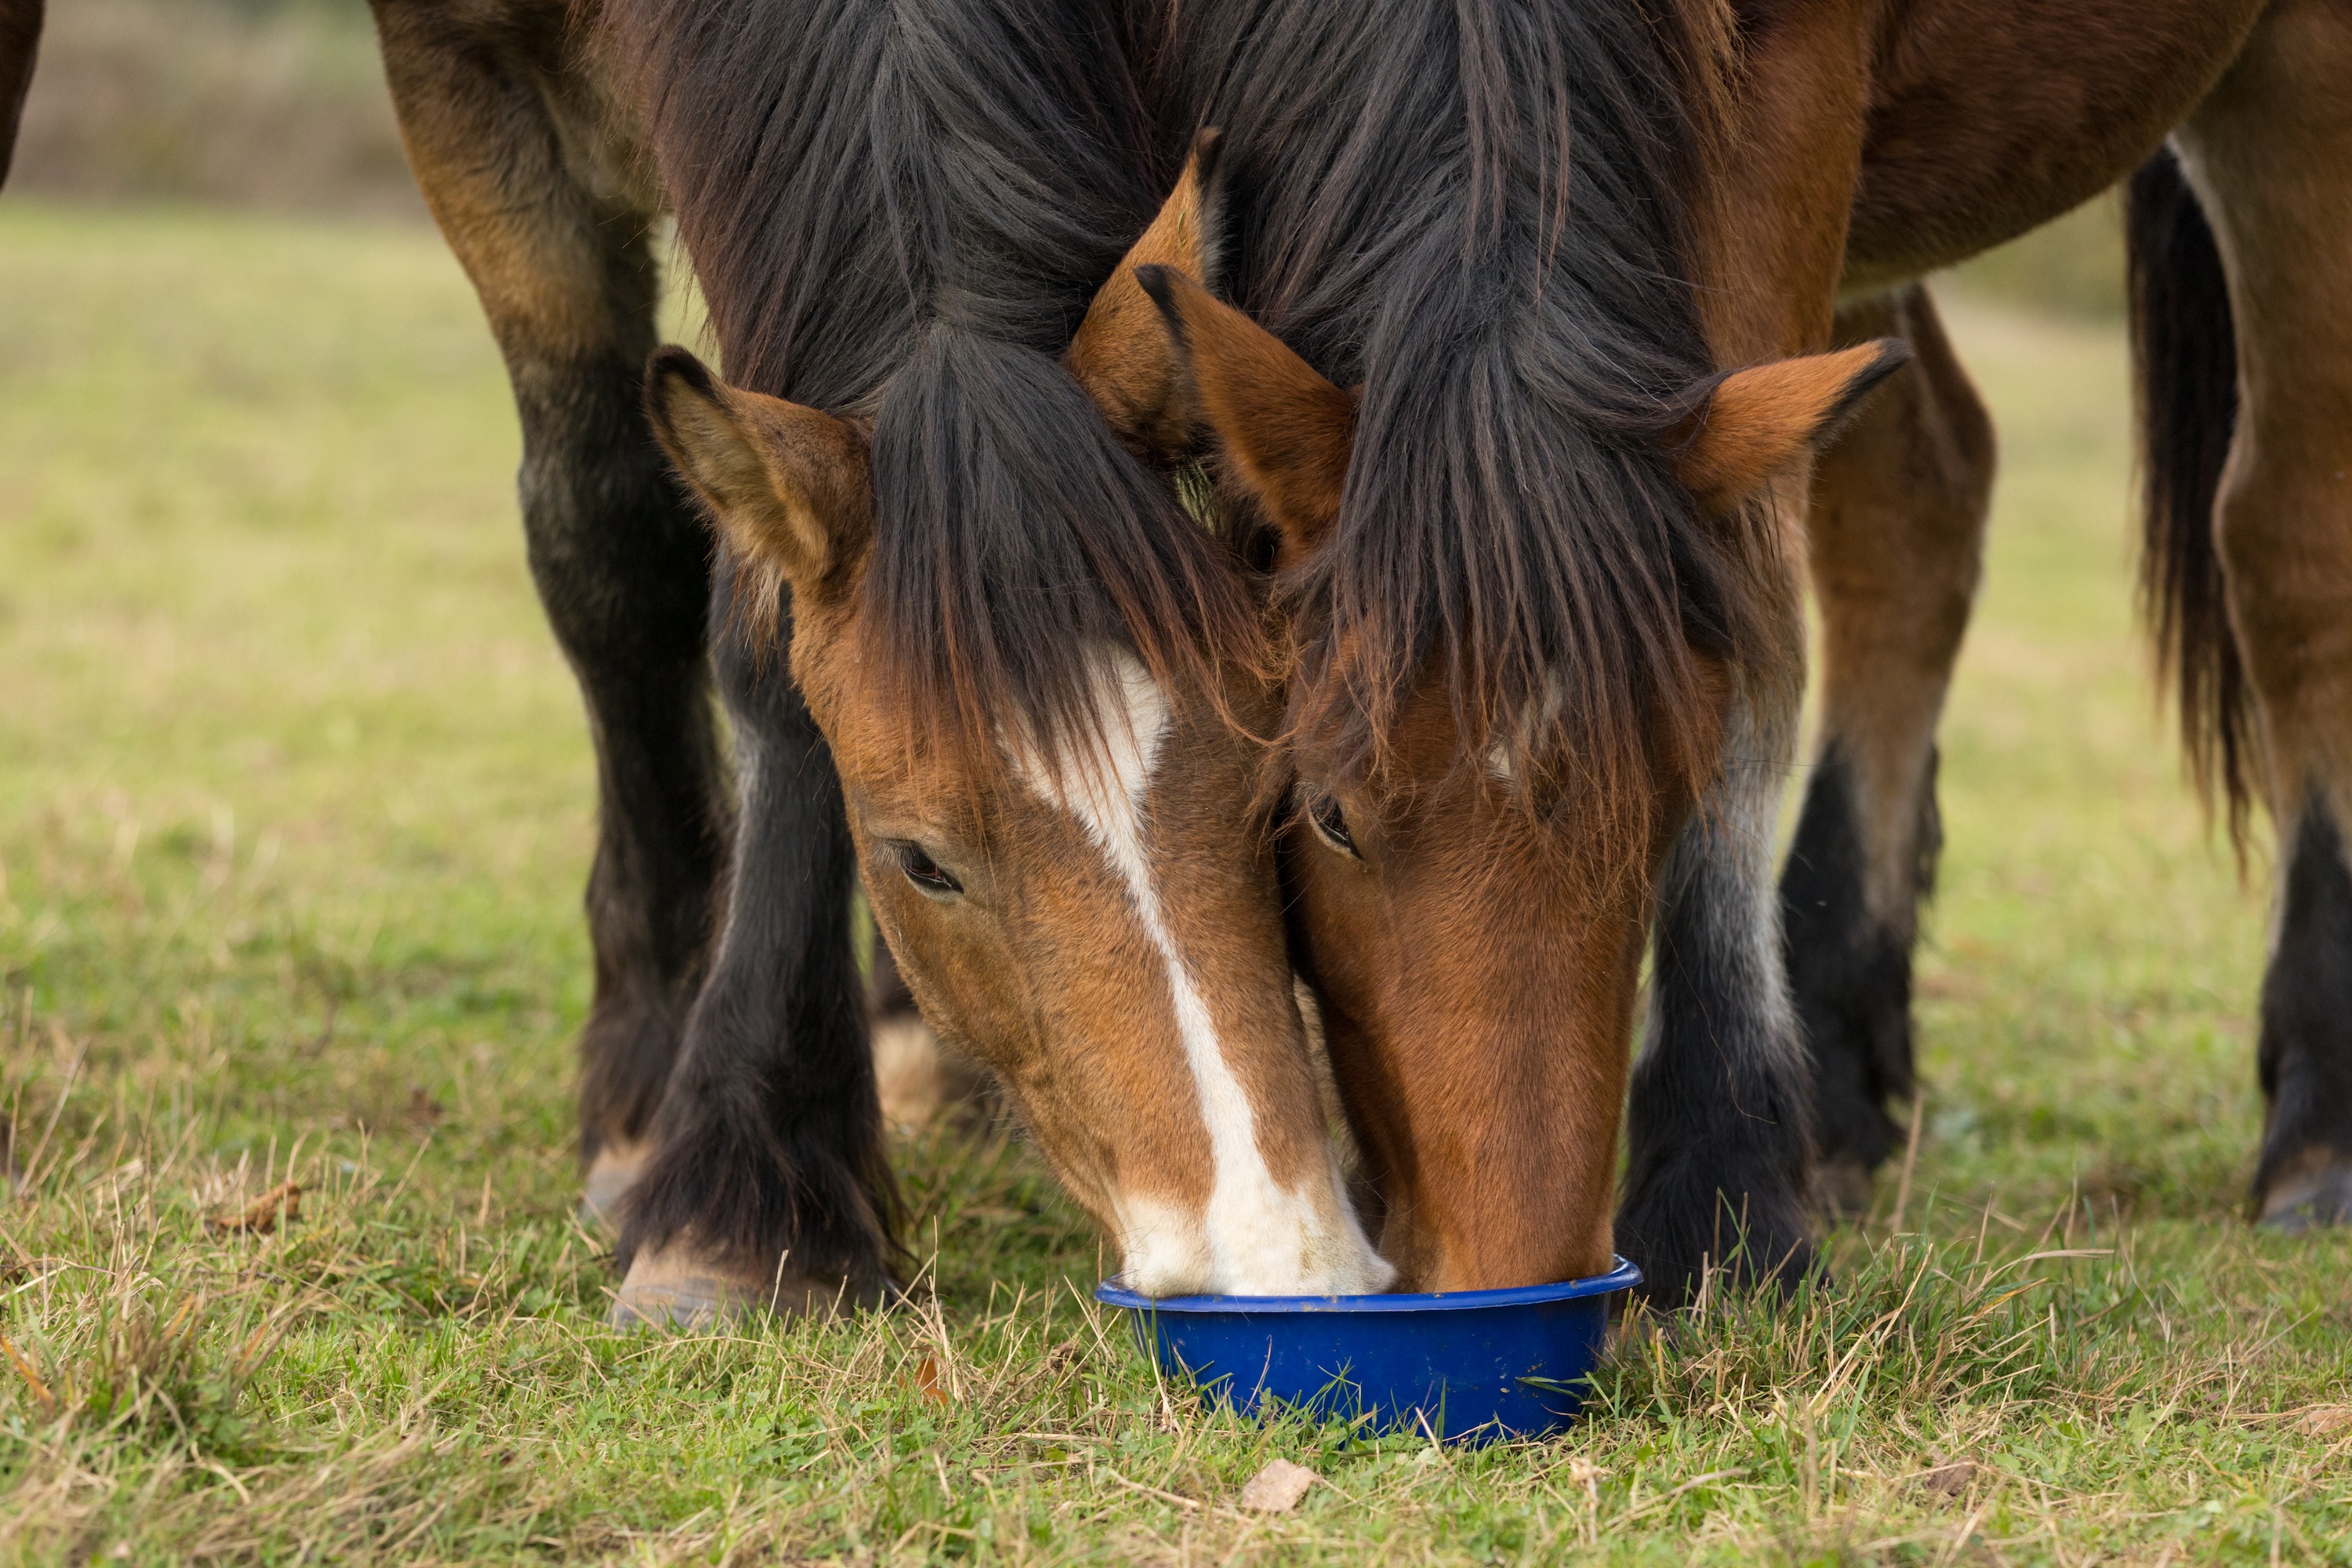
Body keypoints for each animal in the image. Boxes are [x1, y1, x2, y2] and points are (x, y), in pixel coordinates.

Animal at [1116, 0, 2351, 1298]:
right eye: (1329, 817)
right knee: (1924, 492)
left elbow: (1753, 618)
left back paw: (2320, 1121)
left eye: (1665, 809)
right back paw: (1841, 1080)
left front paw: (1721, 1195)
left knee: (2290, 539)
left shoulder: (1787, 103)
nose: (1519, 1263)